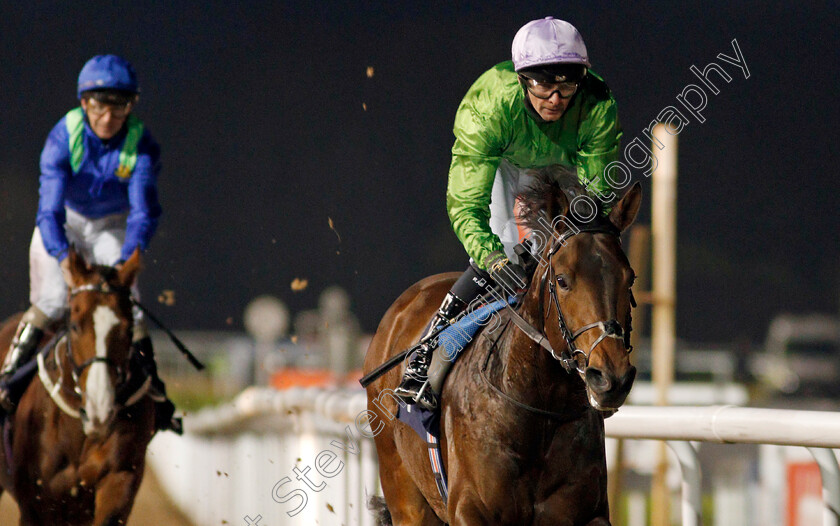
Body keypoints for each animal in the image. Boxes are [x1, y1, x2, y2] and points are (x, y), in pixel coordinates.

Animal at [362, 170, 644, 526]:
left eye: (630, 278)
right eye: (563, 280)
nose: (611, 379)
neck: (539, 408)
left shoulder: (588, 512)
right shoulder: (470, 509)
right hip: (404, 492)